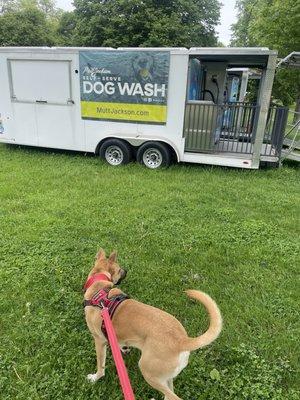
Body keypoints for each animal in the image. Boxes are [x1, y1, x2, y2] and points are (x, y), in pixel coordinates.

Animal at [83, 250, 221, 400]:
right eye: (120, 269)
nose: (126, 270)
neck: (99, 286)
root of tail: (181, 340)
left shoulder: (99, 340)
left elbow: (100, 366)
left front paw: (95, 377)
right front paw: (123, 348)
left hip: (148, 371)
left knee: (173, 396)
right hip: (166, 376)